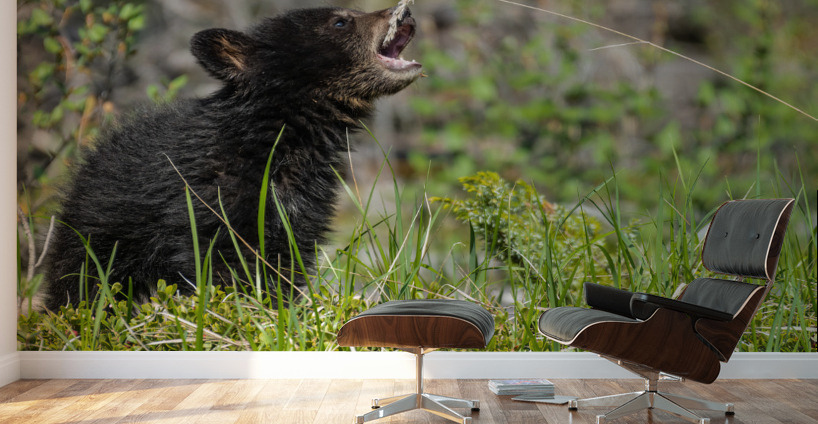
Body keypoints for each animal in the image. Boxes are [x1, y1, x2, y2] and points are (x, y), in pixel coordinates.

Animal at [43, 6, 422, 311]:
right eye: (341, 21)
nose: (405, 11)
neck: (281, 140)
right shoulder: (208, 196)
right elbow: (220, 263)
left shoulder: (302, 204)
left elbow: (287, 260)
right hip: (94, 249)